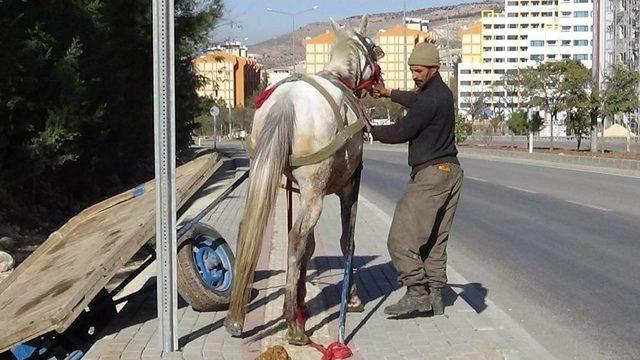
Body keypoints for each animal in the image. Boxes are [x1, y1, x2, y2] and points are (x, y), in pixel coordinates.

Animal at [226, 14, 384, 346]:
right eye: (376, 50)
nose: (382, 83)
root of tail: (286, 100)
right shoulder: (348, 186)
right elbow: (346, 241)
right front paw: (351, 297)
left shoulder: (300, 190)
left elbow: (311, 246)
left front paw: (301, 299)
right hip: (315, 189)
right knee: (295, 237)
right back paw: (293, 325)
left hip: (266, 171)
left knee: (251, 228)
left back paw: (243, 317)